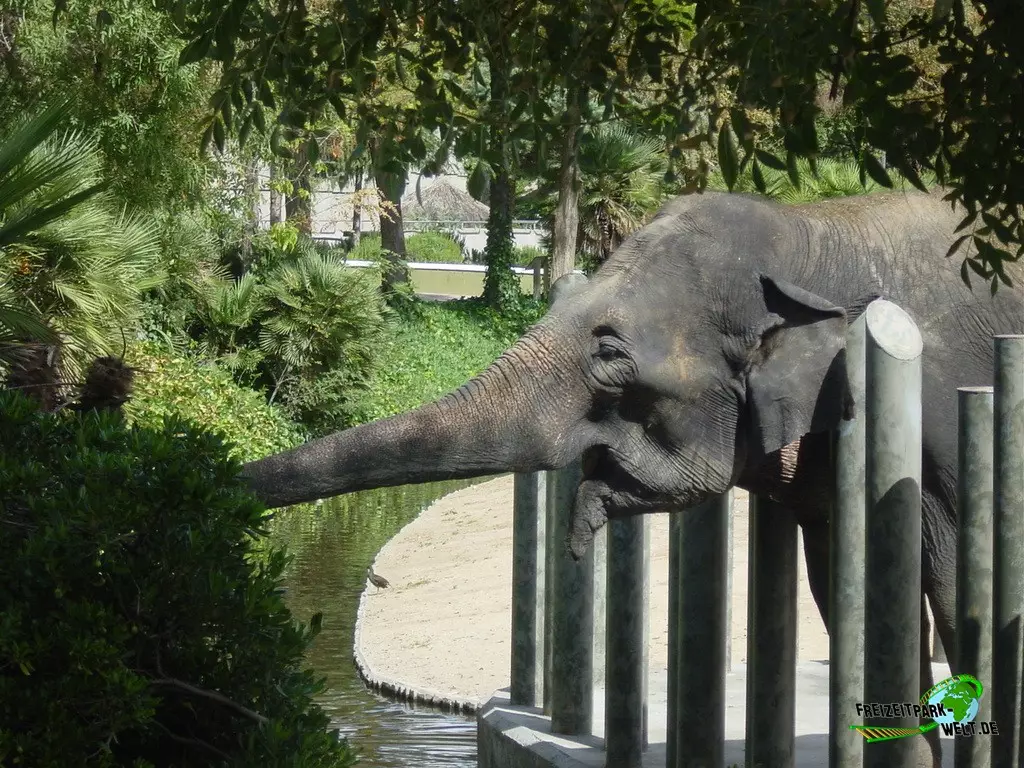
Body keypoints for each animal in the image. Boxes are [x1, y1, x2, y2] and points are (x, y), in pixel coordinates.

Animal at [240, 189, 1023, 767]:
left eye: (612, 356)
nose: (219, 489)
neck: (814, 229)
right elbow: (846, 583)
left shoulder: (942, 413)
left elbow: (960, 578)